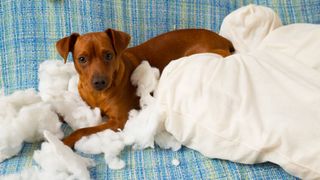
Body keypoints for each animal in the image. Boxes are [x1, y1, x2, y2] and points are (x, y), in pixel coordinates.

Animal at [56, 27, 234, 146]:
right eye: (82, 59)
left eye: (108, 55)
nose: (99, 82)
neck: (98, 95)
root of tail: (223, 39)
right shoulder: (85, 104)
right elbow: (63, 113)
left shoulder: (118, 122)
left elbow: (84, 130)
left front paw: (66, 141)